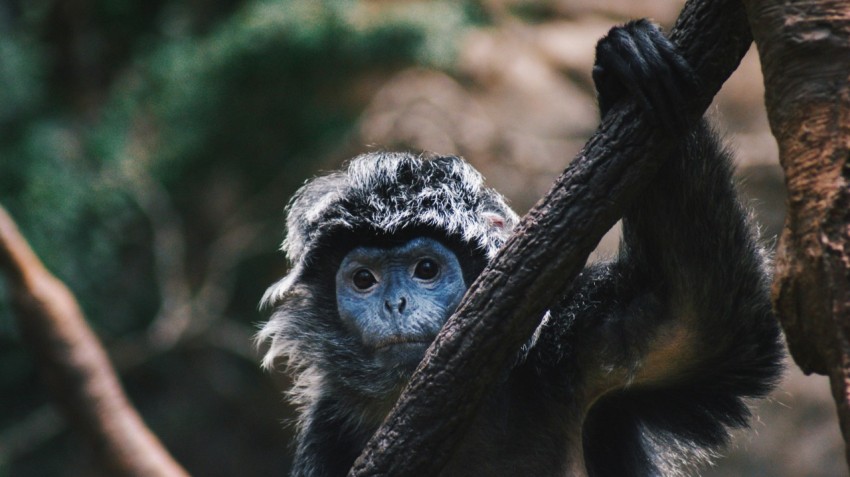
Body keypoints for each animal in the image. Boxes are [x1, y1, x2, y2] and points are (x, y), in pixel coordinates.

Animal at [257, 20, 784, 477]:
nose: (395, 303)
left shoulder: (580, 344)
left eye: (426, 269)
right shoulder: (327, 436)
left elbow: (705, 322)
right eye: (363, 280)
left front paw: (625, 68)